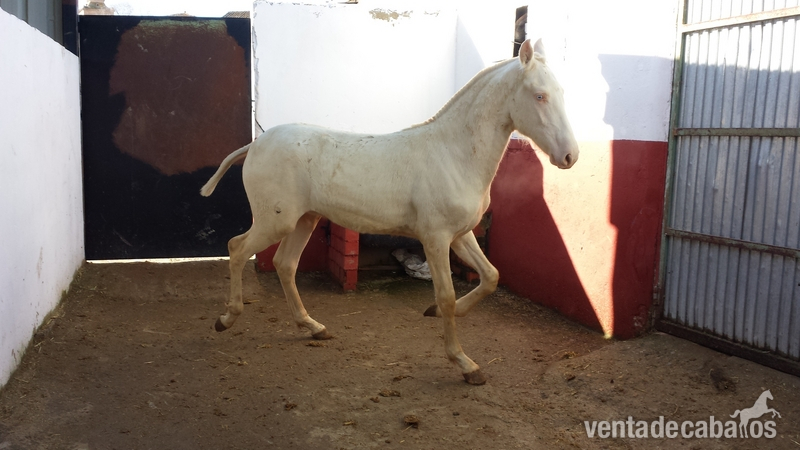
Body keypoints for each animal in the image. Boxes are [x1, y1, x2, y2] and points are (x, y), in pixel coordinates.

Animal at [200, 39, 579, 385]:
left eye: (562, 92)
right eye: (540, 96)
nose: (570, 156)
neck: (453, 153)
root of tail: (256, 143)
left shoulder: (460, 235)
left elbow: (491, 277)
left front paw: (433, 313)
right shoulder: (436, 238)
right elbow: (447, 295)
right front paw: (465, 363)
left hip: (304, 220)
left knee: (285, 264)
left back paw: (313, 327)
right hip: (274, 221)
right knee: (237, 248)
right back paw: (226, 320)